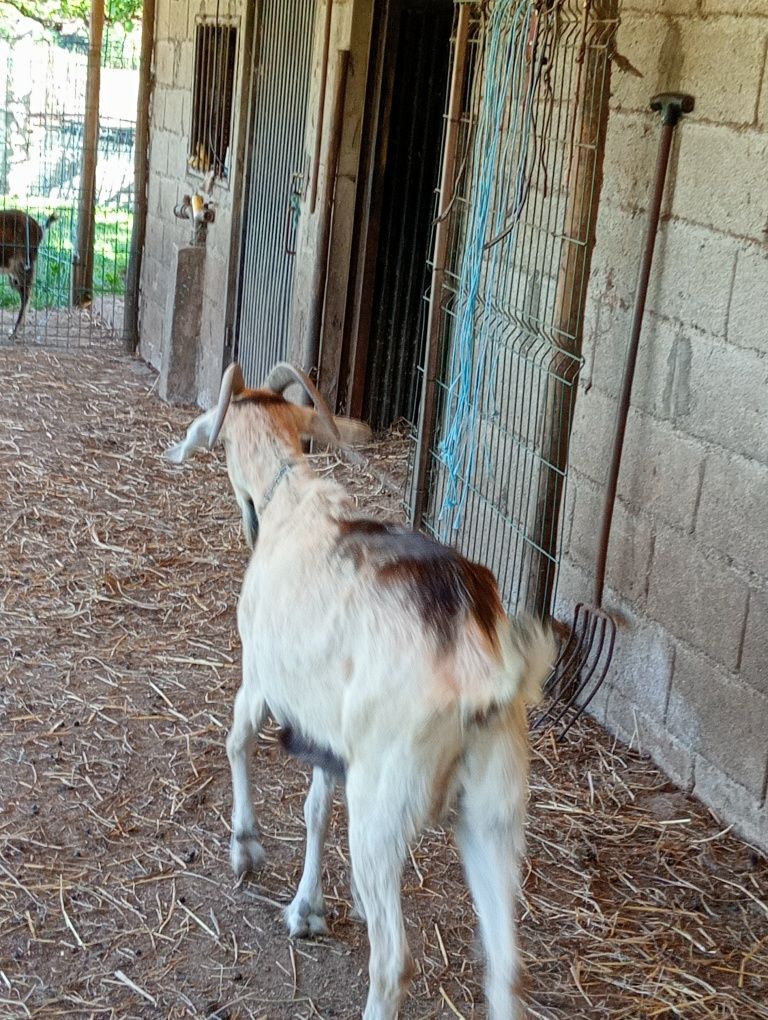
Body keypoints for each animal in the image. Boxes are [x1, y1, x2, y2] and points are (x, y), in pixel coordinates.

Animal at [0, 209, 56, 340]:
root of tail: (39, 228)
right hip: (15, 271)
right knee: (26, 292)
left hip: (25, 263)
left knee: (26, 293)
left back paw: (15, 332)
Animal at [165, 363, 554, 1015]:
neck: (290, 497)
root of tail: (480, 667)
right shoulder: (329, 731)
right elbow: (316, 808)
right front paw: (306, 908)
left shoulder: (263, 676)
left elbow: (238, 740)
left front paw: (246, 848)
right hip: (495, 809)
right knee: (507, 968)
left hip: (383, 806)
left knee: (393, 959)